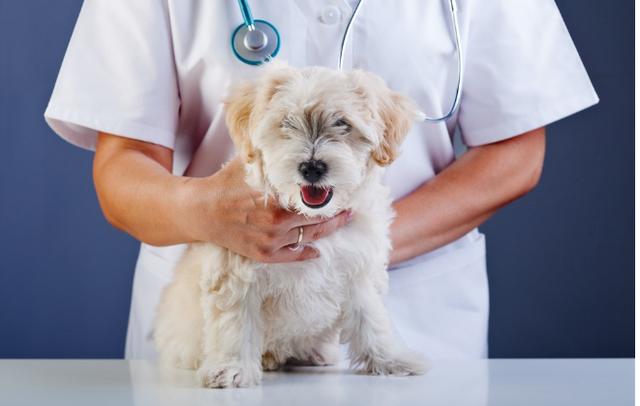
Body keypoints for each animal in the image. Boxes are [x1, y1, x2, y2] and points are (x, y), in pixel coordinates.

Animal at [152, 62, 428, 386]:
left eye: (342, 123)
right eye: (286, 123)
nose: (312, 167)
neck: (309, 216)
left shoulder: (359, 268)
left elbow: (371, 318)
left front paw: (390, 359)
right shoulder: (236, 271)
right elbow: (235, 323)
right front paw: (231, 367)